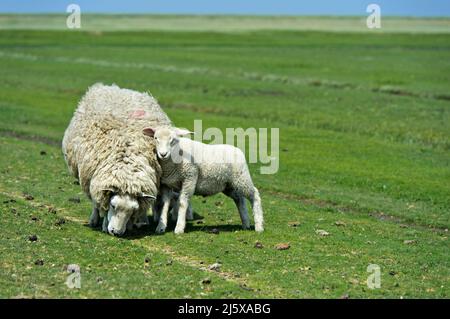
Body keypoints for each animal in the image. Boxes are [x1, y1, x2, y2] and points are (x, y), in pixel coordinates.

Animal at [61, 84, 171, 236]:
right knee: (95, 202)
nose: (116, 232)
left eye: (133, 210)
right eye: (113, 205)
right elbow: (101, 204)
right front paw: (103, 223)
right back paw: (94, 219)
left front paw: (129, 225)